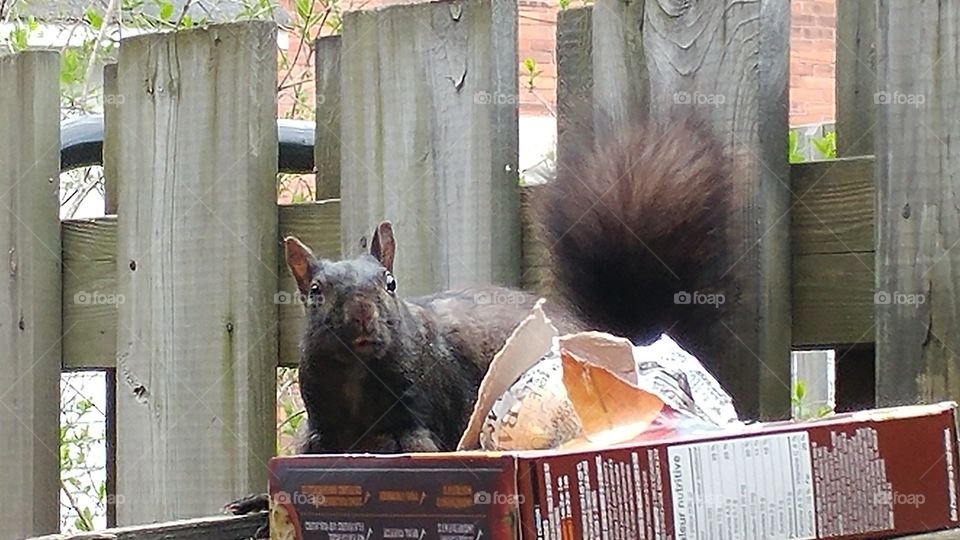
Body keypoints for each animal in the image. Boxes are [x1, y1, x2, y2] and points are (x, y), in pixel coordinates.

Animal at [225, 114, 733, 518]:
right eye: (315, 292)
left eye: (390, 283)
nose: (363, 317)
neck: (356, 376)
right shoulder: (320, 429)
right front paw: (260, 498)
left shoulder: (421, 413)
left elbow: (416, 447)